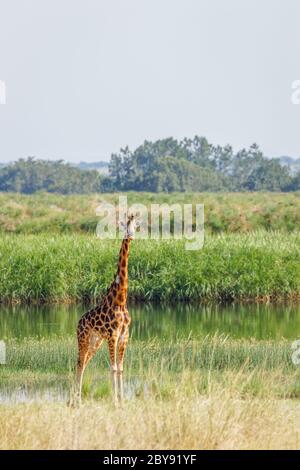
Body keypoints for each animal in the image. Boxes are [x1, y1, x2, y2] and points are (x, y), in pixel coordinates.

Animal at [77, 213, 139, 400]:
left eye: (136, 224)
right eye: (125, 225)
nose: (131, 236)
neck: (120, 300)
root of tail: (78, 322)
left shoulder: (124, 335)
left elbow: (120, 368)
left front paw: (122, 400)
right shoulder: (113, 336)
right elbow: (113, 368)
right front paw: (115, 400)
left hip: (95, 341)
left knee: (85, 362)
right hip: (83, 338)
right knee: (80, 363)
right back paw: (75, 397)